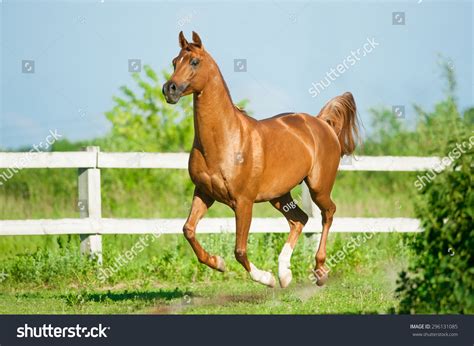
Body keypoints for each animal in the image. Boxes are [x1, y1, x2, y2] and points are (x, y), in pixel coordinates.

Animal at [163, 32, 360, 288]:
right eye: (174, 62)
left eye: (194, 61)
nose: (169, 89)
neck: (226, 140)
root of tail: (321, 123)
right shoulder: (204, 193)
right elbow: (188, 229)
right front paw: (218, 263)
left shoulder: (243, 202)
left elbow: (239, 250)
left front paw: (266, 278)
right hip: (279, 195)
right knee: (299, 219)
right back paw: (285, 274)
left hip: (318, 187)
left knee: (328, 214)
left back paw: (319, 270)